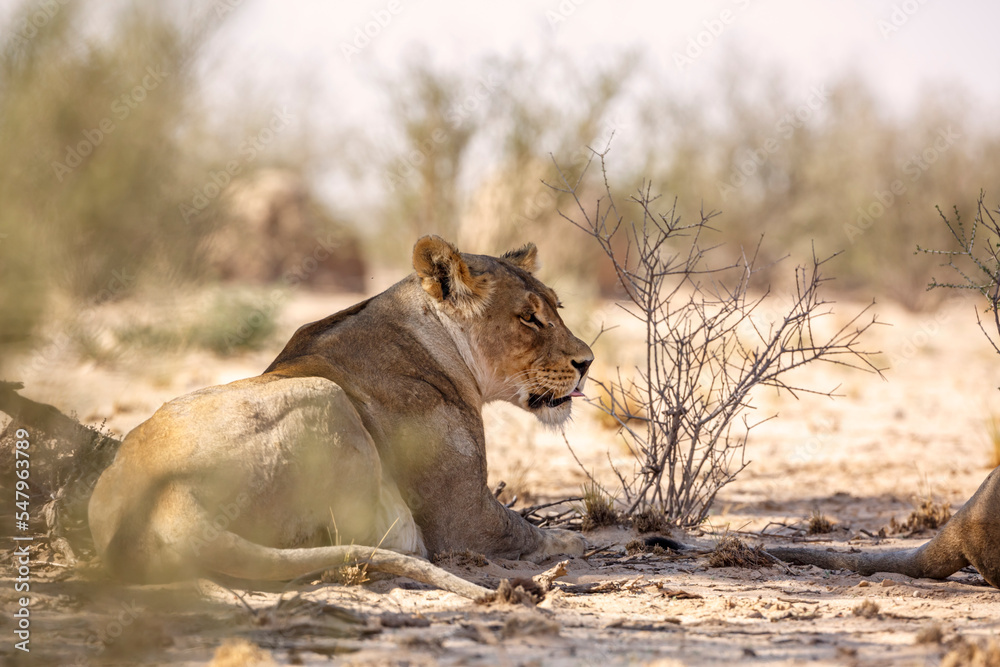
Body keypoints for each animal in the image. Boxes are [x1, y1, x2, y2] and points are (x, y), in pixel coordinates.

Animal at [88, 236, 593, 599]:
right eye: (529, 318)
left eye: (557, 308)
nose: (587, 361)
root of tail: (170, 499)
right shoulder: (462, 518)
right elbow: (524, 529)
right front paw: (573, 541)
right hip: (325, 395)